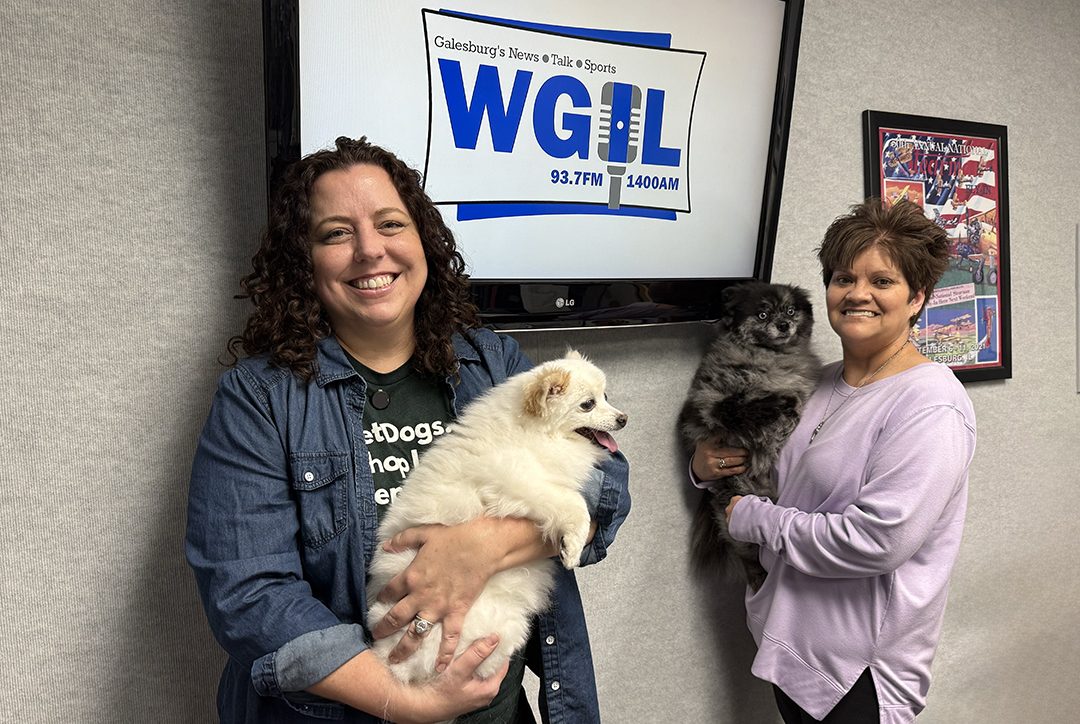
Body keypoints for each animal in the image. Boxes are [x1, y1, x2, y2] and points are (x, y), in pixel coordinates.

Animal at [367, 352, 630, 687]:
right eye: (588, 404)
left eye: (606, 397)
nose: (623, 418)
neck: (534, 433)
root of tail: (394, 663)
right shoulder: (519, 485)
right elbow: (574, 504)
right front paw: (572, 548)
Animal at [678, 280, 820, 592]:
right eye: (763, 314)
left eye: (790, 310)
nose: (783, 325)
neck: (769, 357)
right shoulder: (710, 405)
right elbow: (742, 407)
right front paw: (784, 406)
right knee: (748, 556)